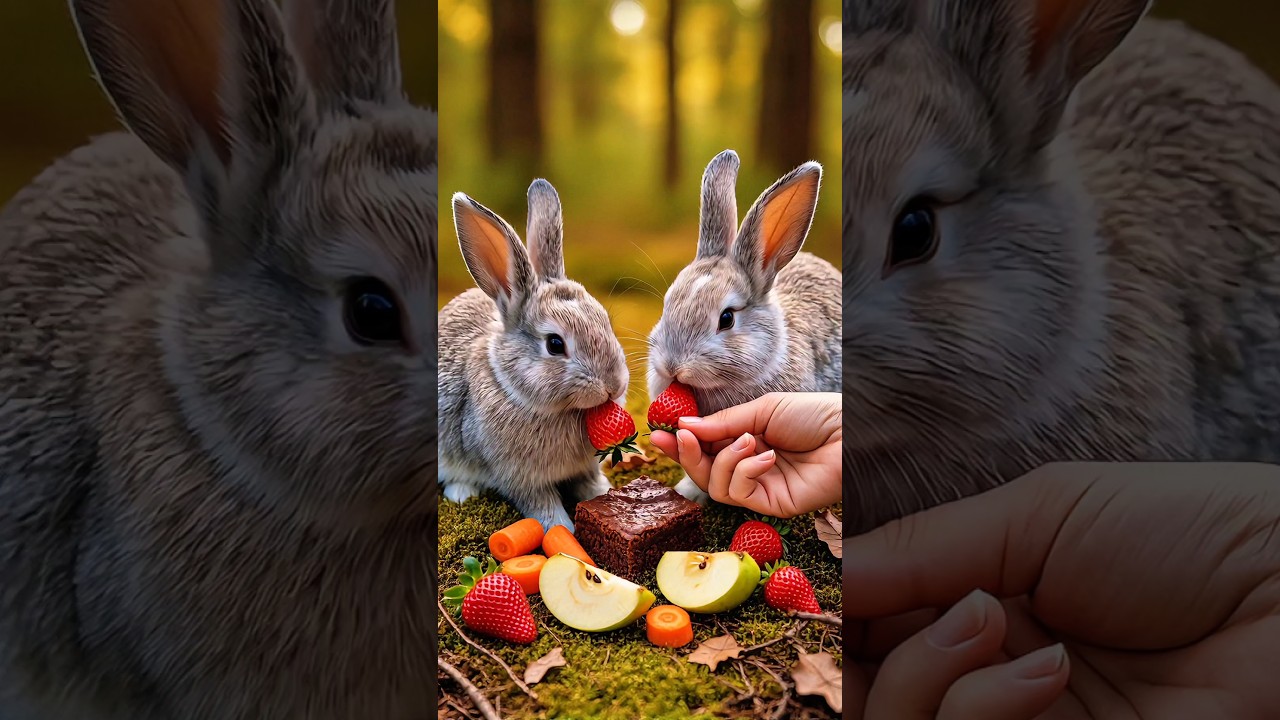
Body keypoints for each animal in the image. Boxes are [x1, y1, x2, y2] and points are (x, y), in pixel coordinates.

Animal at [438, 181, 629, 533]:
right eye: (555, 344)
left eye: (605, 321)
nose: (614, 386)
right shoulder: (520, 478)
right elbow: (544, 508)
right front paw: (567, 531)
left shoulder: (586, 467)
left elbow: (592, 483)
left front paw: (610, 497)